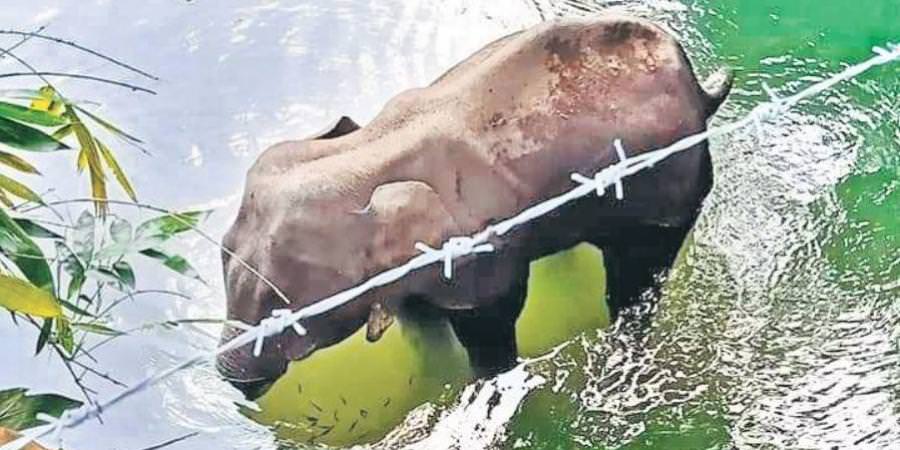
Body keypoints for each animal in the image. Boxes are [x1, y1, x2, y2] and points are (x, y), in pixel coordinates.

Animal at [216, 14, 732, 397]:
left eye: (285, 308)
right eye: (223, 252)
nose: (231, 378)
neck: (369, 154)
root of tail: (701, 89)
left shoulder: (479, 253)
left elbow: (491, 322)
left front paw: (486, 382)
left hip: (670, 184)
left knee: (637, 272)